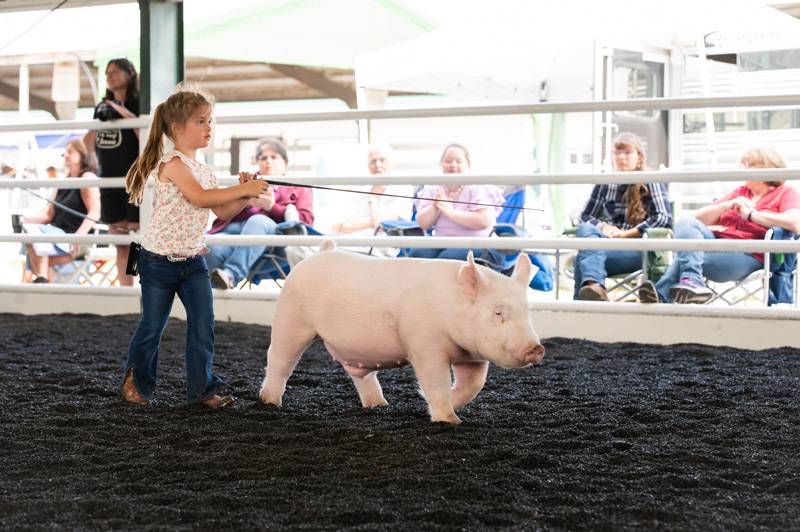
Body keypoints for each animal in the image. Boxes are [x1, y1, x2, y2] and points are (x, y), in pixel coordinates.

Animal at [260, 241, 548, 424]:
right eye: (498, 313)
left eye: (527, 311)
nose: (536, 348)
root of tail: (321, 251)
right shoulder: (424, 346)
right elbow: (435, 382)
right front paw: (449, 420)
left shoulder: (473, 356)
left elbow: (473, 384)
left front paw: (447, 407)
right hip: (291, 318)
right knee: (279, 360)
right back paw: (269, 402)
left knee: (361, 376)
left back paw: (379, 405)